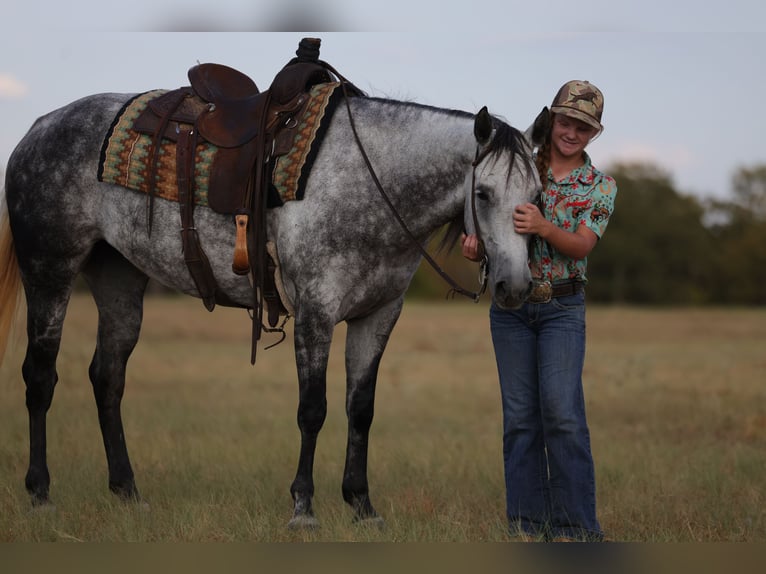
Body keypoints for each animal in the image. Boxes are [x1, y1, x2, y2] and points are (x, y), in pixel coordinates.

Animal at [0, 67, 546, 528]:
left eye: (537, 196)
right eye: (483, 194)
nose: (515, 286)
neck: (369, 182)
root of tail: (38, 128)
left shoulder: (378, 315)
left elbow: (361, 409)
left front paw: (362, 504)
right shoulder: (315, 312)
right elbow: (313, 409)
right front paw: (303, 507)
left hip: (119, 280)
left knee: (107, 378)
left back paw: (128, 492)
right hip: (49, 272)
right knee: (40, 376)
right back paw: (40, 493)